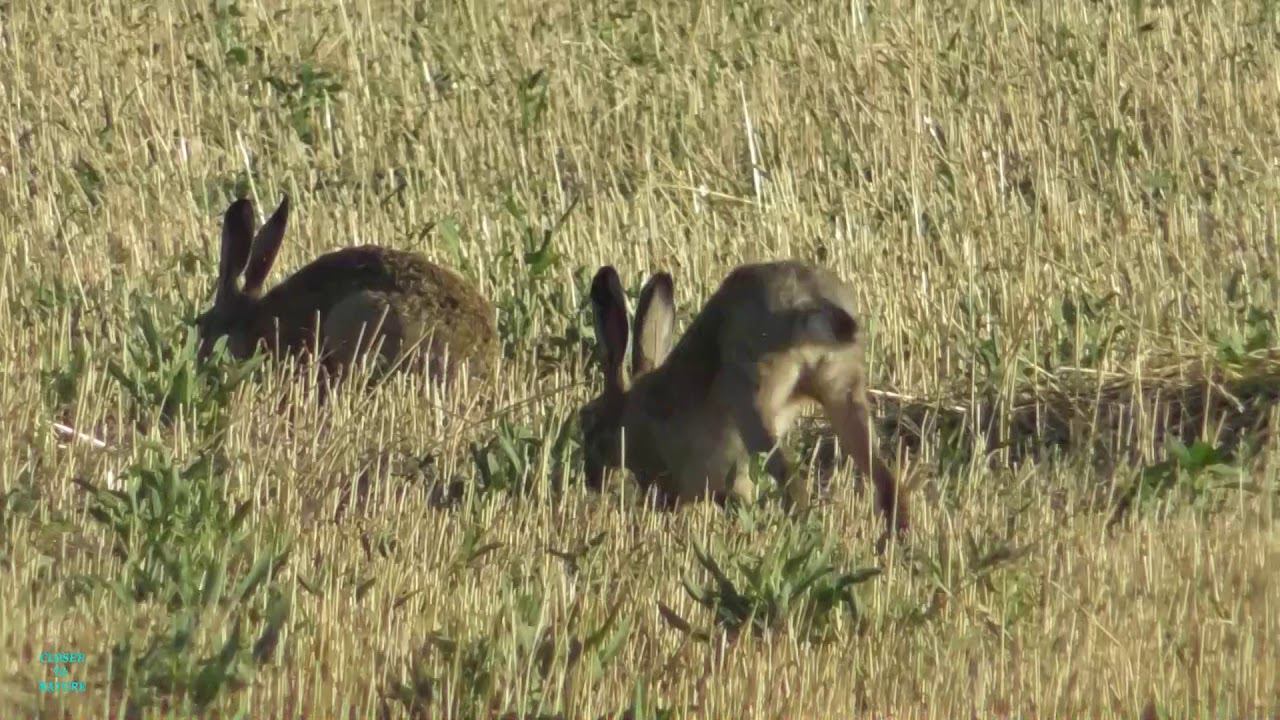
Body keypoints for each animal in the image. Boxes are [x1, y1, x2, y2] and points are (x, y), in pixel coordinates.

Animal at [580, 261, 908, 545]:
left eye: (587, 422)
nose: (591, 480)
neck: (630, 416)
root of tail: (808, 302)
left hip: (751, 403)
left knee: (794, 487)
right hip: (843, 392)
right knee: (887, 482)